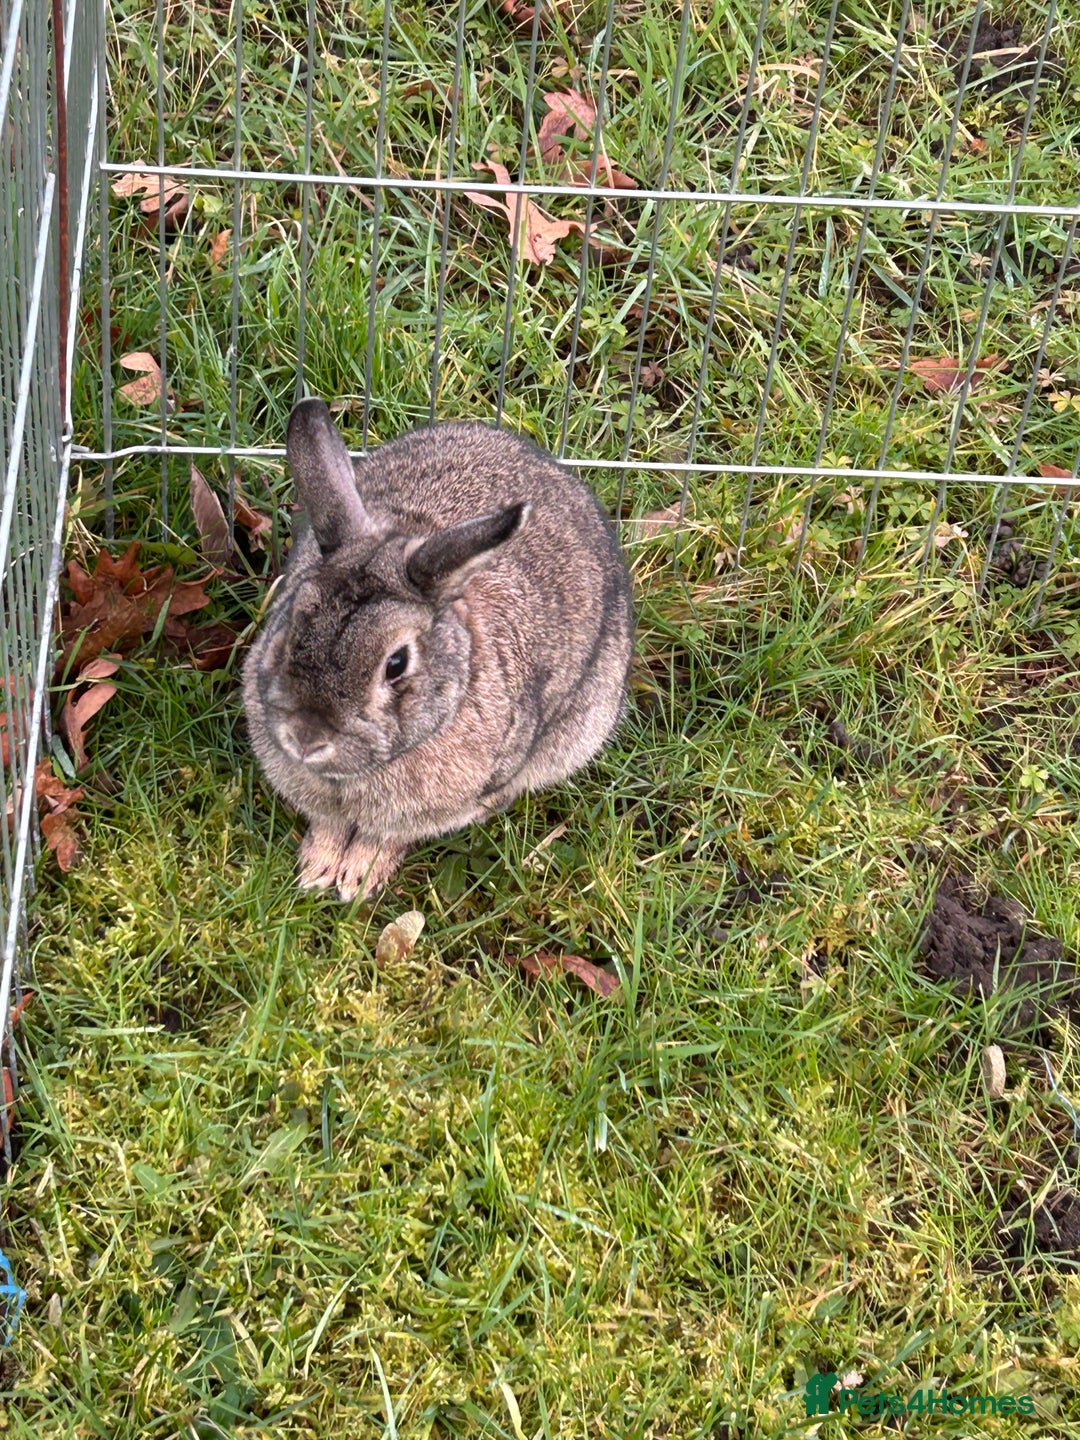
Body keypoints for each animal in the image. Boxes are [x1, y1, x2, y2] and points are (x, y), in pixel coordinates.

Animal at [243, 397, 634, 901]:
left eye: (396, 664)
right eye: (292, 620)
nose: (306, 739)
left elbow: (387, 836)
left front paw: (356, 879)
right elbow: (328, 823)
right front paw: (318, 870)